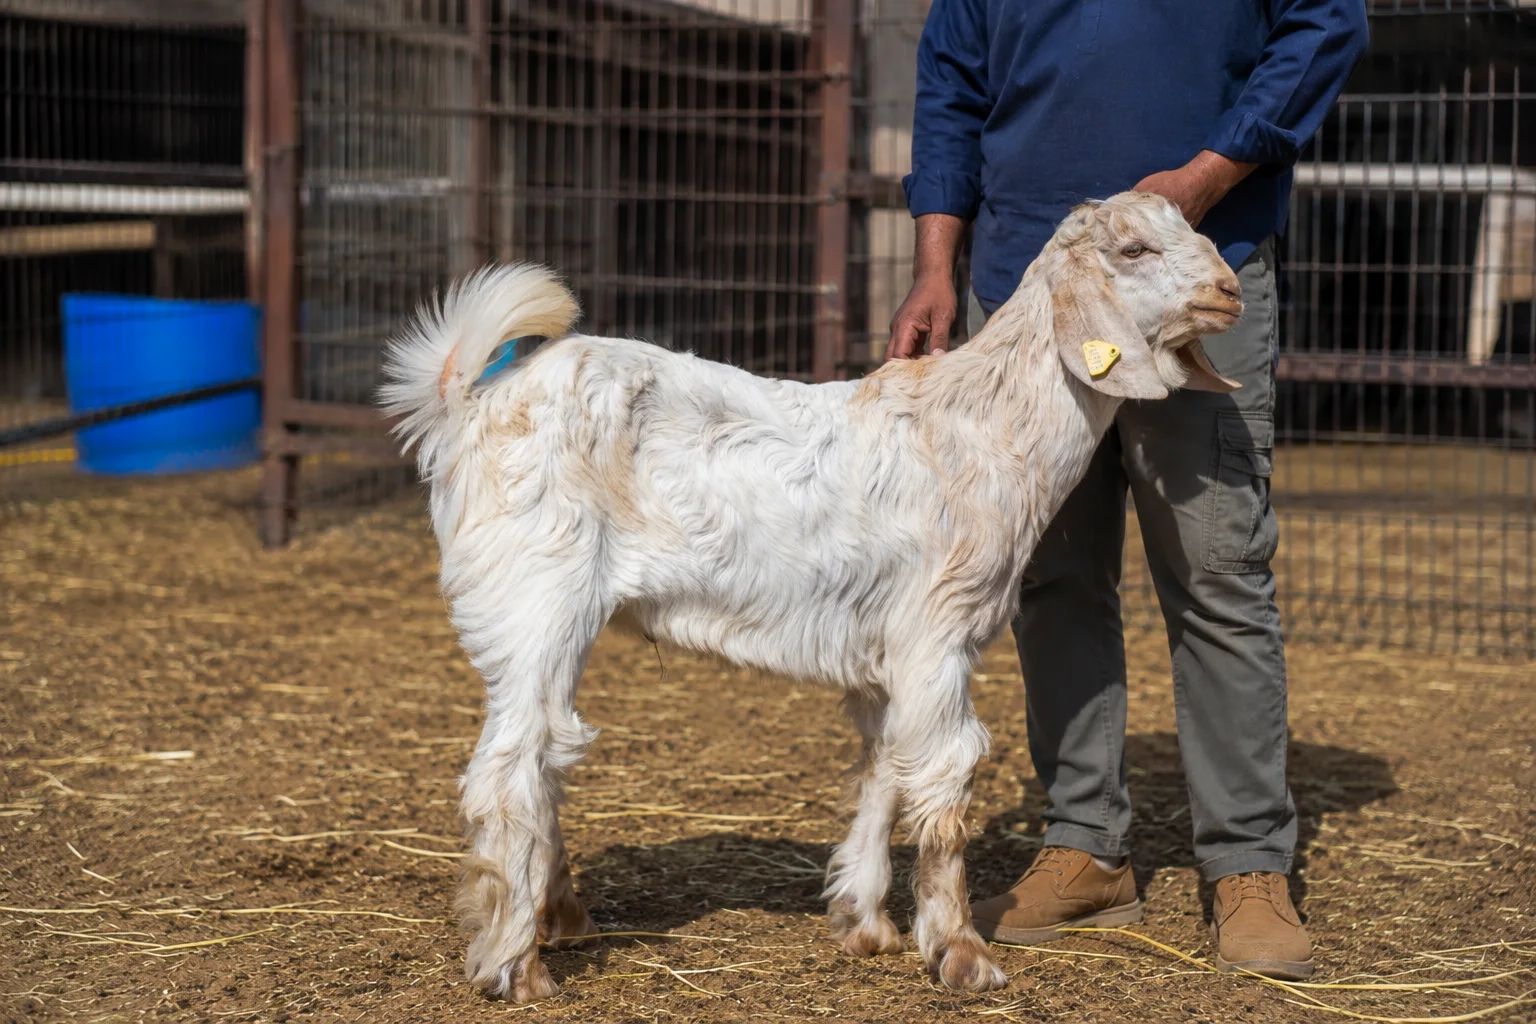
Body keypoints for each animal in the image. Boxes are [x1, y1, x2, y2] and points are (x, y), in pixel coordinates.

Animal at [380, 190, 1244, 1003]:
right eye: (1133, 249)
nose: (1230, 290)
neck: (985, 428)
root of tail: (467, 403)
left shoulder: (887, 653)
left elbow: (885, 768)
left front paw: (865, 923)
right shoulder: (937, 634)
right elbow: (945, 779)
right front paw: (961, 953)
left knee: (542, 758)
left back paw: (558, 914)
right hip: (538, 599)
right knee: (513, 768)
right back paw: (515, 964)